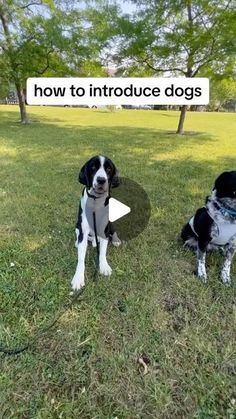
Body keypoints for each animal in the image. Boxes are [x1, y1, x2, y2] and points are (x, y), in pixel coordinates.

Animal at [71, 155, 121, 292]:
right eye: (93, 167)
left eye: (108, 169)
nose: (101, 180)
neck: (96, 201)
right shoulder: (83, 228)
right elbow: (81, 258)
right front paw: (78, 277)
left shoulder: (105, 228)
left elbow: (103, 251)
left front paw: (104, 266)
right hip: (77, 225)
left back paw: (115, 240)